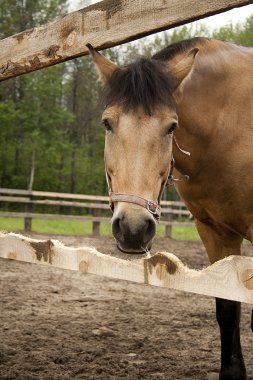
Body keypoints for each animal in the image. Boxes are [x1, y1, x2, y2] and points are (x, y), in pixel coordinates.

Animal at [87, 38, 253, 380]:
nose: (133, 228)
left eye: (171, 127)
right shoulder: (215, 232)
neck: (230, 124)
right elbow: (228, 307)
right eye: (107, 123)